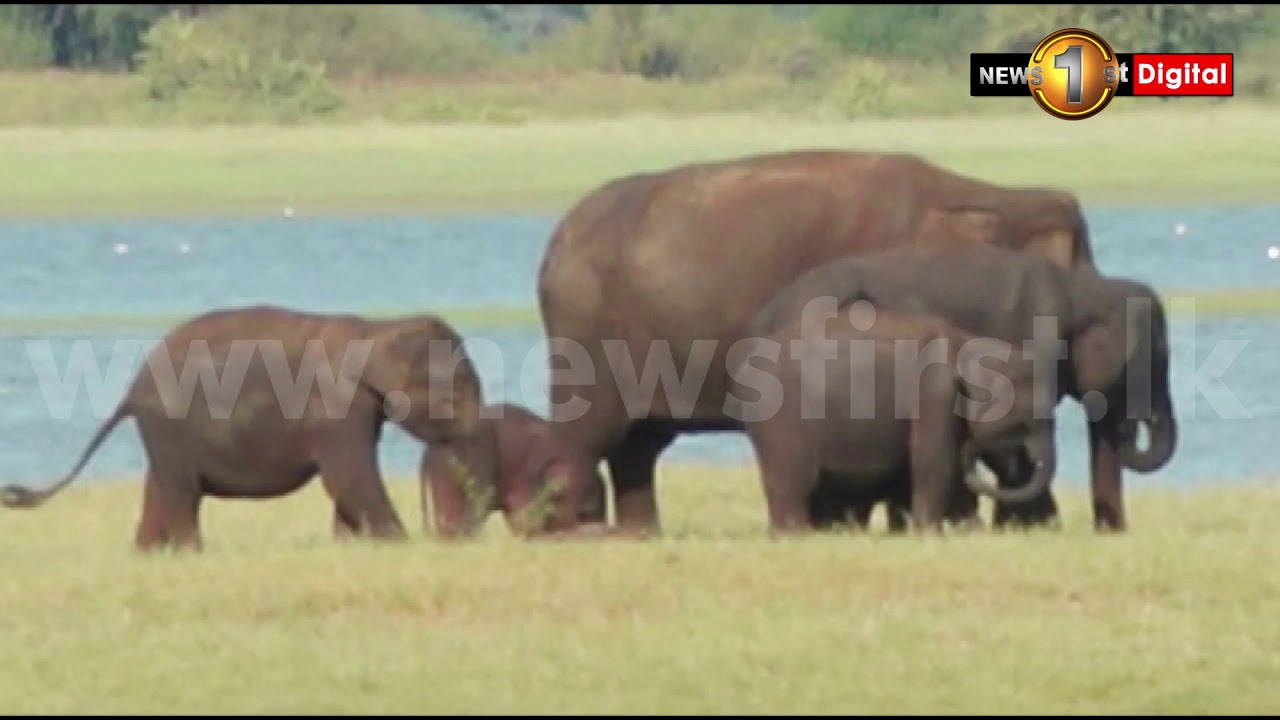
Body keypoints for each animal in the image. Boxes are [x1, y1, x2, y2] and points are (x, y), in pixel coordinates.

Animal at [0, 305, 498, 552]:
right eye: (456, 394)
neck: (376, 329)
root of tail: (132, 388)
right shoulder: (338, 407)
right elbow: (347, 475)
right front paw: (398, 544)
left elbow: (345, 481)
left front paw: (351, 548)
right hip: (170, 427)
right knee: (181, 493)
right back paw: (190, 554)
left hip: (163, 437)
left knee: (160, 487)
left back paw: (146, 554)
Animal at [728, 301, 1058, 534]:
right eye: (1030, 419)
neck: (968, 342)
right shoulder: (935, 393)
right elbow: (933, 458)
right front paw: (930, 534)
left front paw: (971, 532)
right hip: (780, 418)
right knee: (796, 479)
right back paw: (796, 534)